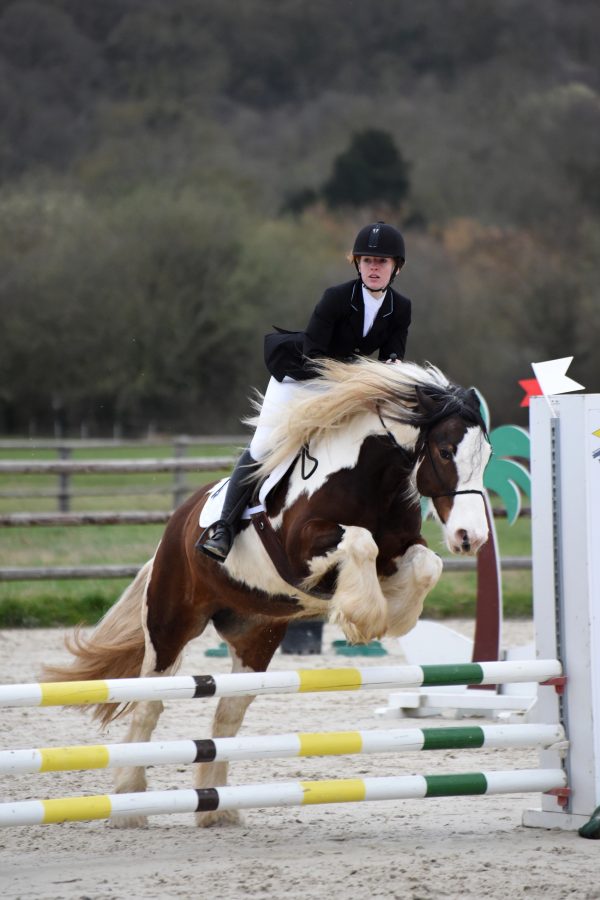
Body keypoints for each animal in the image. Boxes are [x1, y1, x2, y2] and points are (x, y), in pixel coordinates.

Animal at [43, 356, 492, 828]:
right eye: (444, 452)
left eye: (487, 456)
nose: (471, 538)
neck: (369, 479)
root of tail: (175, 526)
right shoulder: (303, 550)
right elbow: (360, 542)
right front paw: (365, 617)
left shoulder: (400, 551)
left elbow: (424, 565)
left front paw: (393, 613)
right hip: (170, 625)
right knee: (150, 703)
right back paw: (130, 803)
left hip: (256, 638)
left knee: (228, 715)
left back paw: (217, 808)